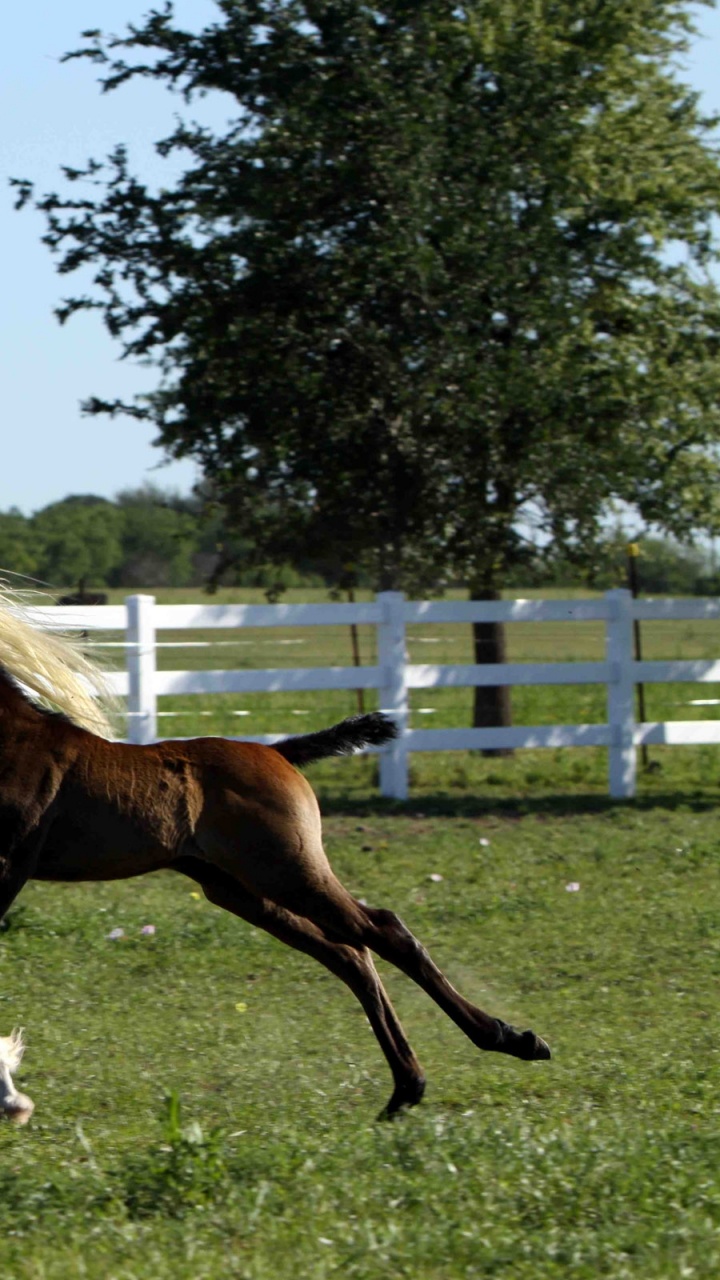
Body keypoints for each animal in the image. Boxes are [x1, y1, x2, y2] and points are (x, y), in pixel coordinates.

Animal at [0, 590, 550, 1123]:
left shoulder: (8, 867)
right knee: (350, 954)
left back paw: (511, 1041)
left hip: (288, 872)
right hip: (243, 889)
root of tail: (280, 751)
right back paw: (407, 1089)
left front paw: (14, 1098)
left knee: (385, 930)